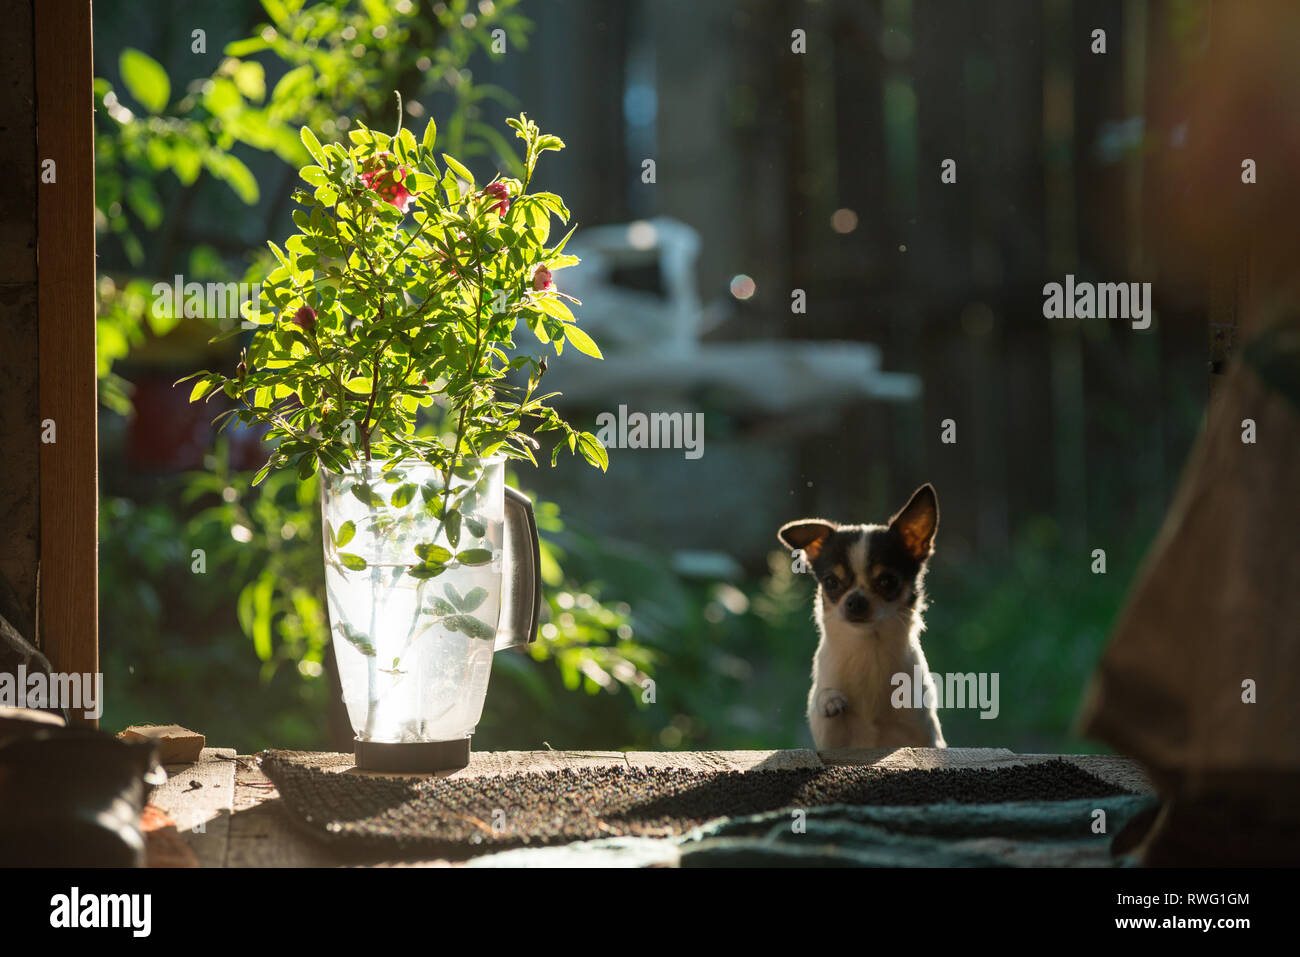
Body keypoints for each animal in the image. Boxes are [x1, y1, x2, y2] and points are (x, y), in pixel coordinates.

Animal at [774, 481, 951, 748]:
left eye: (888, 582)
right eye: (831, 582)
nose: (856, 601)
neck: (869, 647)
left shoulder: (924, 735)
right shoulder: (829, 738)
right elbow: (822, 700)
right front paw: (829, 700)